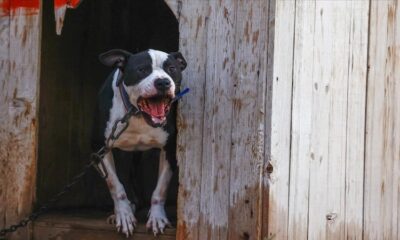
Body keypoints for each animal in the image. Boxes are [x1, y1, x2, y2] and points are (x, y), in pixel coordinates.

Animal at [92, 48, 188, 236]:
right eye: (142, 70)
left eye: (172, 68)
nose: (163, 82)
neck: (136, 115)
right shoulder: (101, 150)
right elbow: (116, 185)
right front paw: (124, 215)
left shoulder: (169, 150)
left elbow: (160, 189)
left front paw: (157, 217)